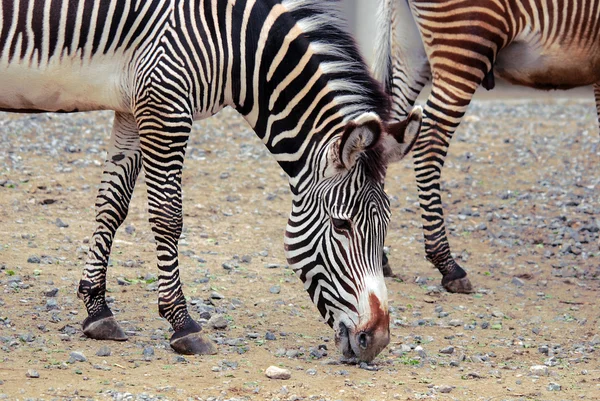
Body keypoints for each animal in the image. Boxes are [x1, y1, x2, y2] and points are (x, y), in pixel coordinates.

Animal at [0, 0, 422, 360]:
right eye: (341, 225)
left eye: (387, 224)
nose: (377, 340)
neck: (233, 41)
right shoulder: (164, 105)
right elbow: (168, 217)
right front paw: (182, 324)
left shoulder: (133, 108)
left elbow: (112, 206)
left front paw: (97, 309)